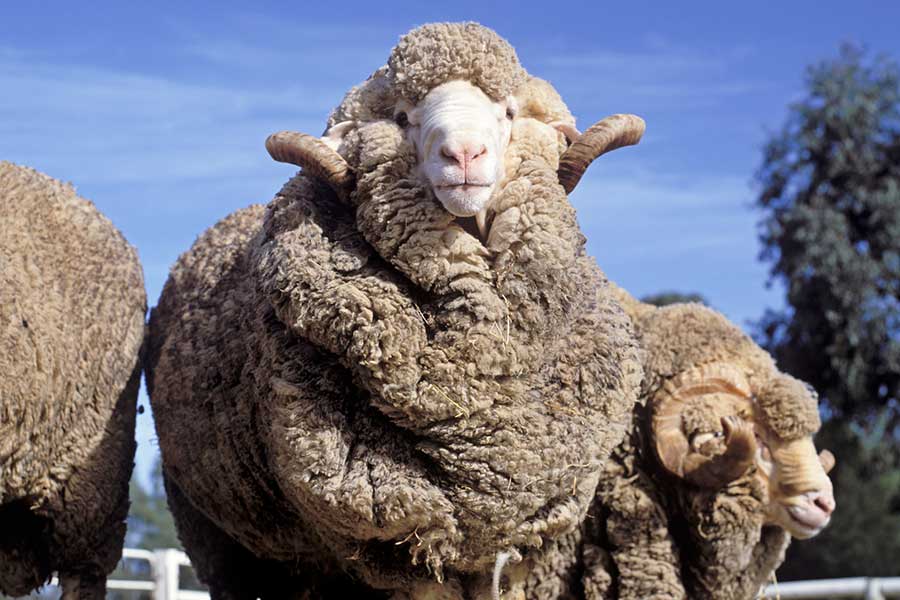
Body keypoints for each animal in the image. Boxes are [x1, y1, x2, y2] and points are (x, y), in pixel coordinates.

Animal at [148, 21, 652, 596]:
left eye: (507, 112)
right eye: (403, 117)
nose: (464, 154)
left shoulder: (516, 542)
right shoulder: (399, 537)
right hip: (219, 534)